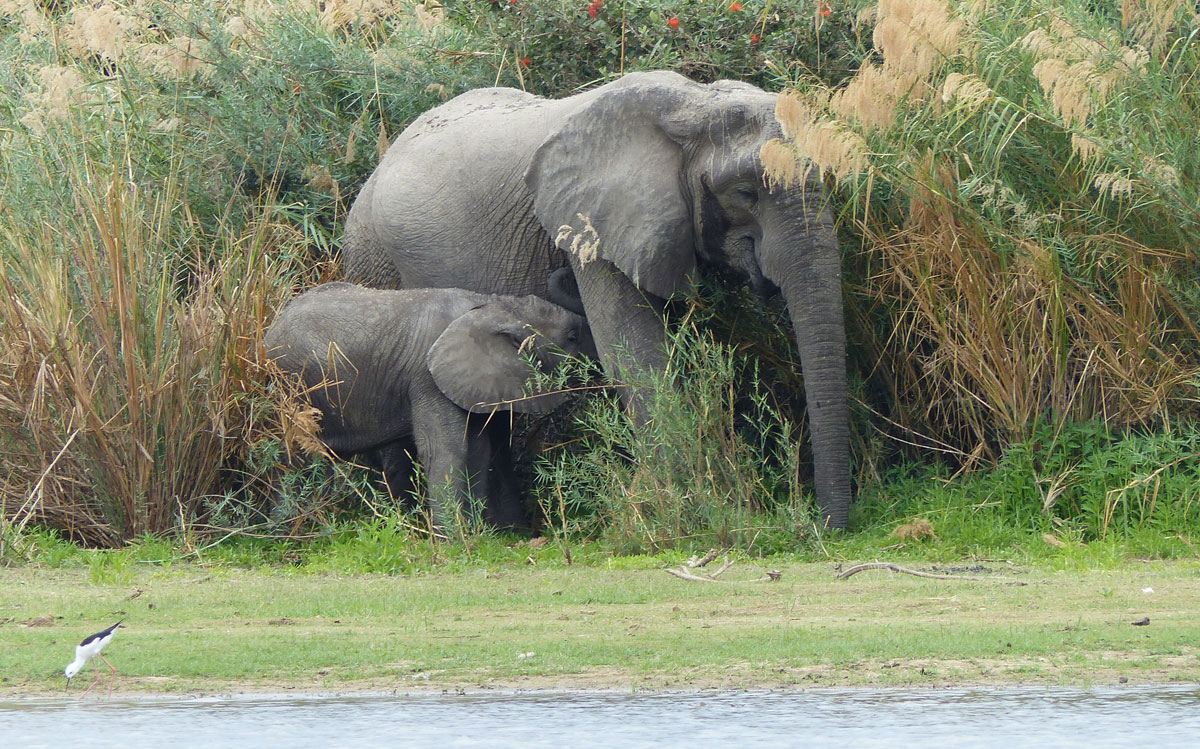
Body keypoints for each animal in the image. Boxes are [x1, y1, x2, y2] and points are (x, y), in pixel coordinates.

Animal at [270, 282, 592, 532]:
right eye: (573, 336)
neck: (498, 305)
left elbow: (479, 450)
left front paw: (480, 536)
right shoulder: (426, 379)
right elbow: (446, 450)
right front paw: (454, 545)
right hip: (295, 384)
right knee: (299, 457)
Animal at [345, 68, 854, 525]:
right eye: (745, 193)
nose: (829, 526)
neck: (693, 105)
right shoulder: (590, 227)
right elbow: (635, 355)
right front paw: (690, 508)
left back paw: (511, 532)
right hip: (372, 258)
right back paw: (411, 524)